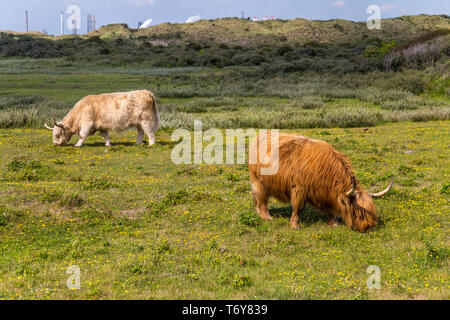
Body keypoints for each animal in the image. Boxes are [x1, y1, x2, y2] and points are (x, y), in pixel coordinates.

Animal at [250, 131, 394, 231]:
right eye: (359, 214)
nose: (370, 227)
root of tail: (259, 136)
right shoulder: (299, 188)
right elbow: (298, 207)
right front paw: (295, 224)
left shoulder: (323, 192)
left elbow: (329, 209)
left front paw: (334, 222)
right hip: (258, 181)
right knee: (261, 199)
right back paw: (266, 217)